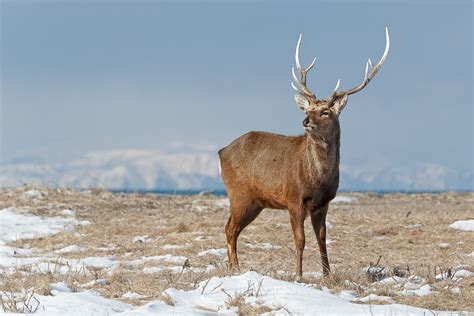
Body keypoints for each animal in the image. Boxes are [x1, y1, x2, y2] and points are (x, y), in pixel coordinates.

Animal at [218, 27, 388, 278]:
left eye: (326, 111)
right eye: (308, 110)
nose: (306, 121)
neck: (318, 179)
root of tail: (221, 152)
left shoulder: (323, 202)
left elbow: (322, 240)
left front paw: (327, 275)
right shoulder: (294, 198)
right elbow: (300, 240)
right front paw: (298, 275)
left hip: (256, 201)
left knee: (232, 228)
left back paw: (233, 267)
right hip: (239, 193)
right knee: (230, 228)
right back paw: (236, 268)